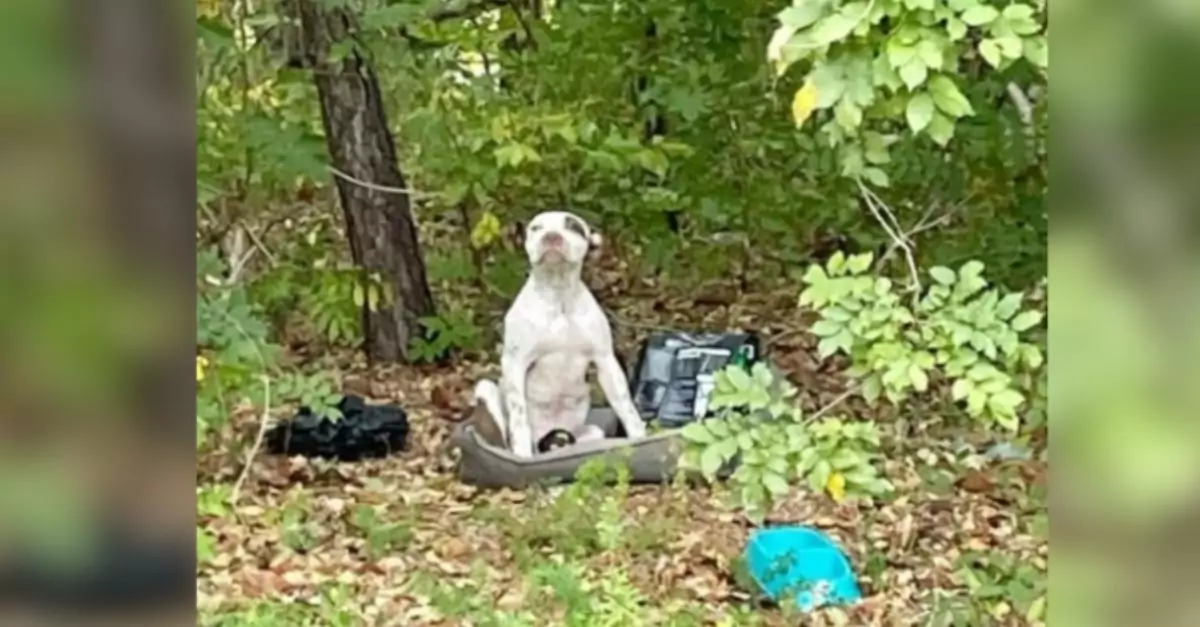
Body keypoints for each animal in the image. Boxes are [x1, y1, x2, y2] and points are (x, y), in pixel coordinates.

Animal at [472, 210, 652, 454]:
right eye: (536, 228)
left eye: (573, 227)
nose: (551, 236)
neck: (559, 296)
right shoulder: (515, 362)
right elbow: (519, 418)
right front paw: (522, 455)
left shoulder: (606, 361)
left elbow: (627, 408)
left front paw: (639, 438)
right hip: (487, 390)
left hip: (587, 432)